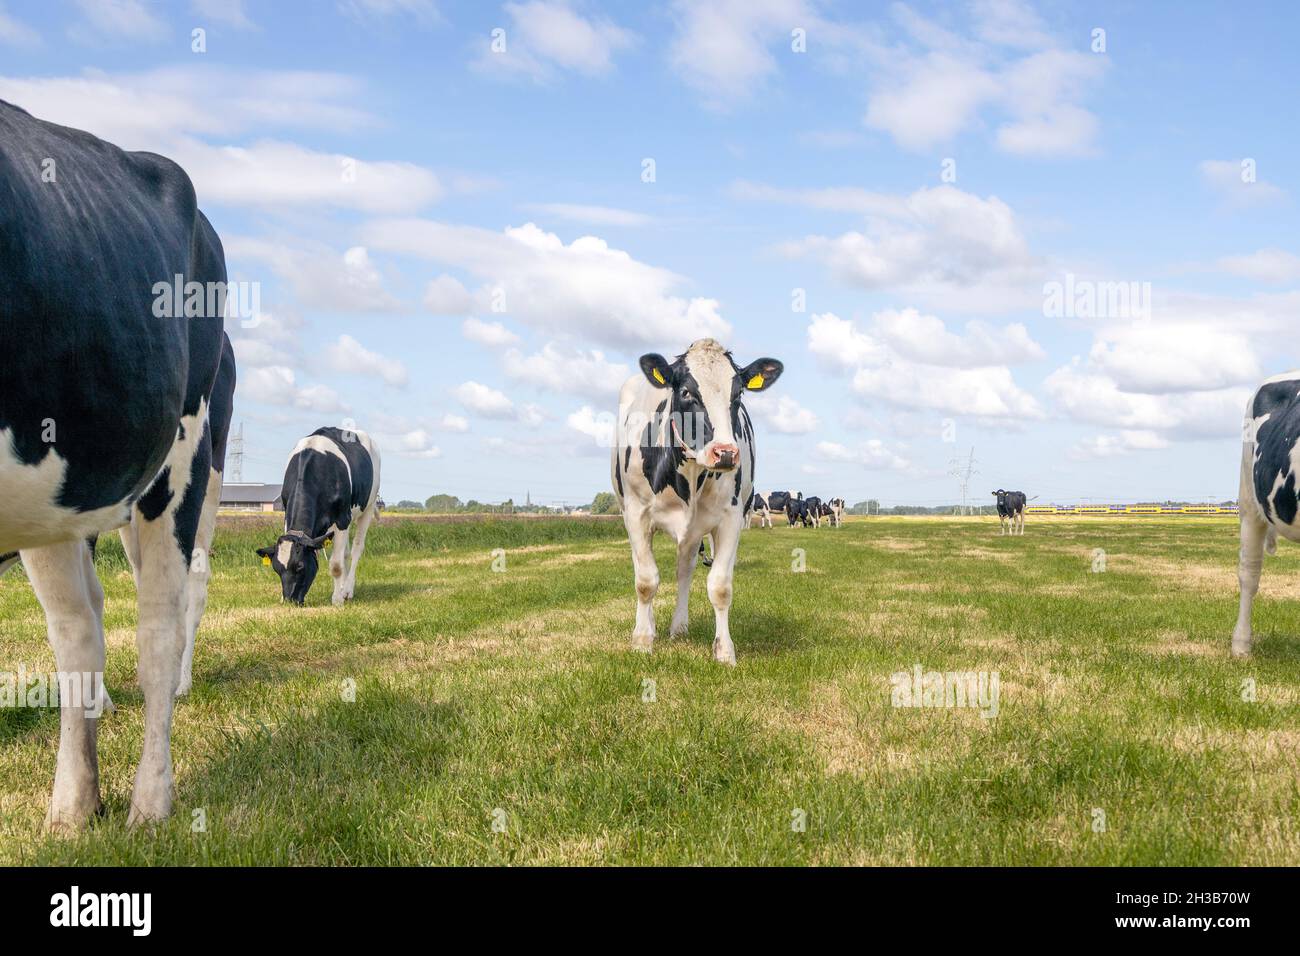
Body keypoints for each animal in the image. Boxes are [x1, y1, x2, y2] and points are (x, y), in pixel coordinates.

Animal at [0, 98, 228, 832]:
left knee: (159, 627)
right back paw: (74, 806)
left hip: (182, 458)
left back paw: (150, 802)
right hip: (56, 498)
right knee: (79, 635)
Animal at [253, 429, 377, 606]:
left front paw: (337, 599)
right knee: (345, 553)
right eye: (276, 568)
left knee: (356, 549)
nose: (290, 600)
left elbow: (336, 565)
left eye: (300, 566)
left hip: (368, 507)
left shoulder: (342, 519)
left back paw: (347, 590)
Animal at [611, 338, 780, 665]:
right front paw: (642, 640)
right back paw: (649, 624)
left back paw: (678, 626)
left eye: (738, 394)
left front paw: (724, 651)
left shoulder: (730, 518)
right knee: (642, 565)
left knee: (684, 570)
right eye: (687, 392)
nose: (725, 453)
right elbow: (646, 581)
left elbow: (720, 586)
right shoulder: (637, 514)